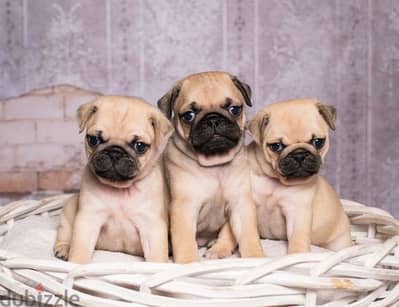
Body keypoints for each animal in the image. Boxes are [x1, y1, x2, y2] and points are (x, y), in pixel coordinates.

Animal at [52, 97, 173, 264]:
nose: (115, 152)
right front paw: (77, 264)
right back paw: (64, 249)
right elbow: (80, 249)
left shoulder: (151, 227)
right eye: (93, 140)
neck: (120, 190)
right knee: (64, 232)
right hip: (68, 211)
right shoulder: (88, 220)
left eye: (139, 146)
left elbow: (156, 256)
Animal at [158, 71, 264, 264]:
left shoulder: (241, 203)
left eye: (234, 109)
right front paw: (188, 262)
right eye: (189, 116)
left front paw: (255, 257)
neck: (215, 164)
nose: (213, 119)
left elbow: (248, 234)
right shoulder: (184, 208)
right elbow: (184, 240)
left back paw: (218, 247)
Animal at [247, 100, 354, 254]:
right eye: (276, 146)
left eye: (318, 142)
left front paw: (296, 255)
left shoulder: (297, 212)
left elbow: (298, 239)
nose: (299, 155)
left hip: (340, 242)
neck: (276, 180)